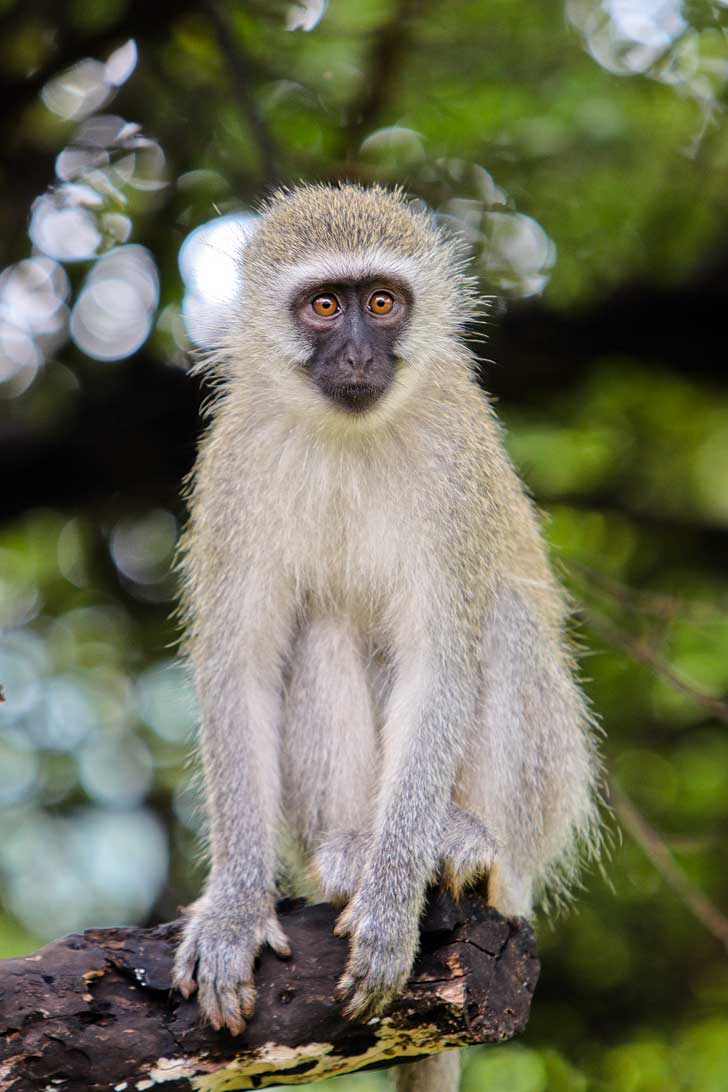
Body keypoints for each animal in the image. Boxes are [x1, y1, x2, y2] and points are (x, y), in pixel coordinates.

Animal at [173, 183, 602, 1087]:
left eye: (381, 303)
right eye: (324, 306)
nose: (358, 356)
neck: (349, 434)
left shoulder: (454, 468)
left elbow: (443, 665)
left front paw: (393, 901)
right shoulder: (234, 469)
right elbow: (241, 671)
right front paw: (234, 908)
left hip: (537, 811)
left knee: (501, 620)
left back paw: (461, 843)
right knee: (323, 624)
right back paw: (347, 851)